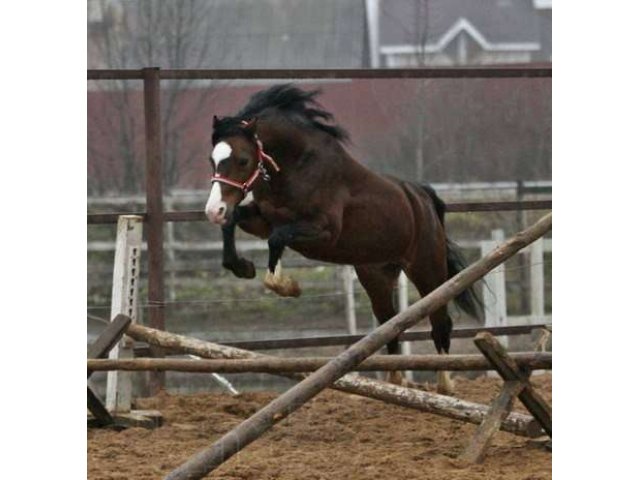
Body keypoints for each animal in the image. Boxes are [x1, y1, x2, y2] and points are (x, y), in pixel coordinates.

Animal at [204, 85, 480, 394]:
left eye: (242, 160)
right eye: (212, 160)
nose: (213, 210)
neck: (296, 165)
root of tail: (422, 197)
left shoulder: (323, 232)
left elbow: (276, 240)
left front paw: (286, 286)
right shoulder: (262, 219)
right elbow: (236, 224)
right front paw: (242, 267)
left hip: (426, 269)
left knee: (440, 322)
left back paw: (445, 385)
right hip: (377, 275)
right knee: (390, 323)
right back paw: (394, 384)